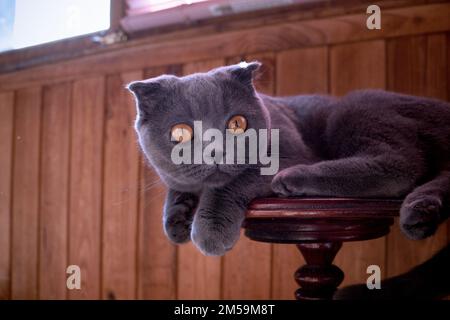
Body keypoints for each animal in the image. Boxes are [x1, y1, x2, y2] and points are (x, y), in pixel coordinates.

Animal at [126, 62, 450, 256]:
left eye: (237, 124)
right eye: (180, 132)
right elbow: (177, 186)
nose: (215, 149)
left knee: (400, 164)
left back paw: (293, 179)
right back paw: (420, 213)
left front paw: (209, 230)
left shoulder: (288, 149)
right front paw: (175, 220)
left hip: (355, 110)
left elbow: (233, 182)